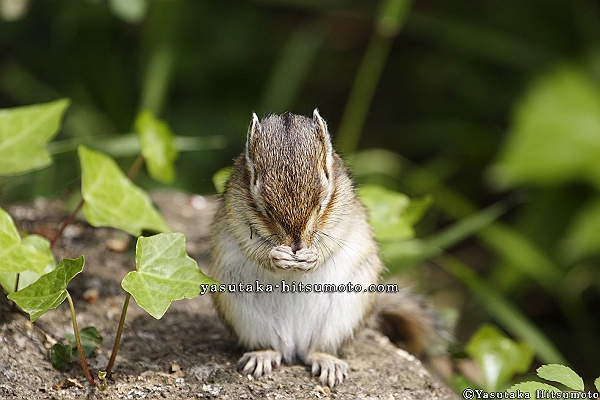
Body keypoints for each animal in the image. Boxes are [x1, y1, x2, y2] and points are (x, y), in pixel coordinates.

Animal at [208, 110, 444, 388]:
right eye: (264, 209)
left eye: (321, 204)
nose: (297, 246)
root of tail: (294, 345)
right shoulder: (236, 216)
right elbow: (254, 248)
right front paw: (277, 256)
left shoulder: (342, 215)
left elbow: (331, 243)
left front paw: (311, 257)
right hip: (244, 317)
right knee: (272, 347)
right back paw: (263, 356)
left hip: (341, 319)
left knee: (316, 351)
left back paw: (327, 362)